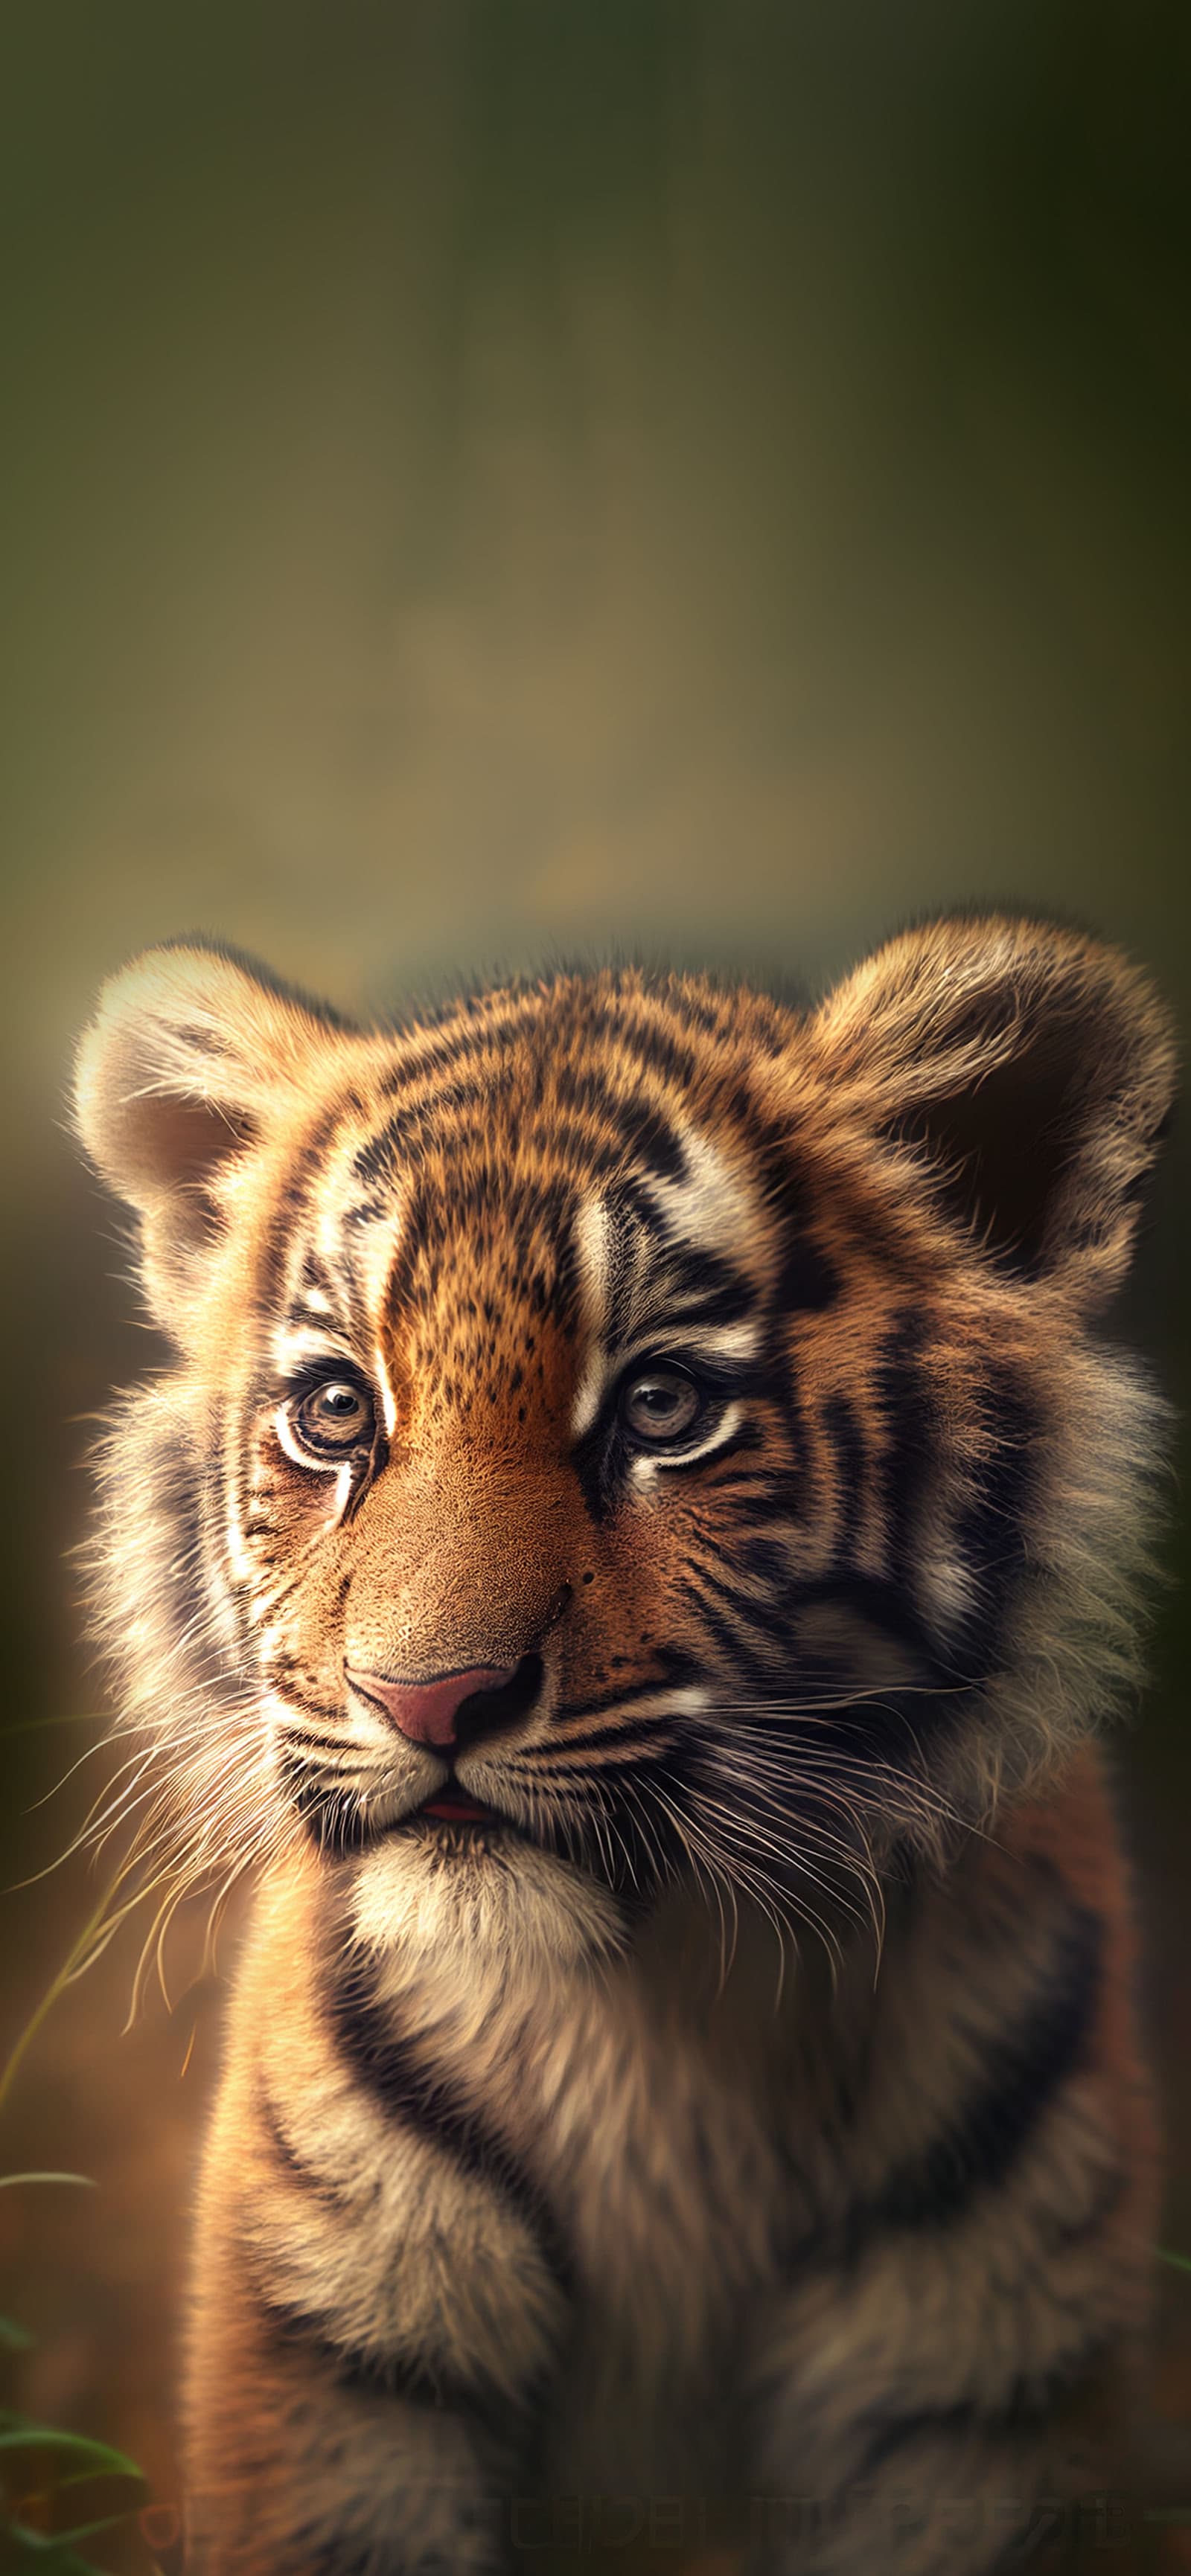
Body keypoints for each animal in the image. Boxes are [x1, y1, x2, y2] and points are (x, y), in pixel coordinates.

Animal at [72, 912, 1175, 2576]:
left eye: (663, 1405)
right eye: (336, 1411)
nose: (428, 1699)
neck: (654, 2035)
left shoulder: (991, 2386)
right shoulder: (324, 2377)